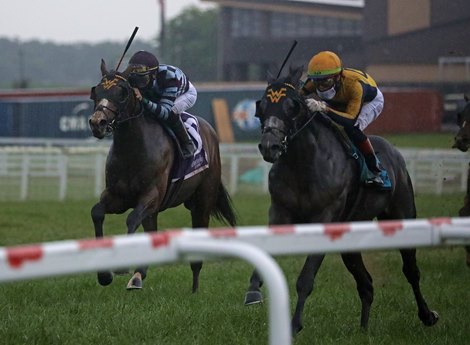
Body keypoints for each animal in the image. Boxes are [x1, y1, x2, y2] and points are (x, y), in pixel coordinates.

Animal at [87, 59, 235, 290]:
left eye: (121, 92)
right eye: (97, 91)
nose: (97, 122)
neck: (133, 149)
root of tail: (210, 130)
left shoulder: (152, 195)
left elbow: (131, 219)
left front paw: (121, 267)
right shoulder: (117, 197)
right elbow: (97, 212)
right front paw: (104, 275)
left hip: (203, 201)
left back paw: (194, 288)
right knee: (150, 229)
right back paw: (139, 276)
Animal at [246, 66, 440, 334]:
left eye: (291, 106)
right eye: (262, 106)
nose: (269, 146)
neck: (303, 164)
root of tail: (395, 153)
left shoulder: (326, 217)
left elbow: (306, 279)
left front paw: (294, 324)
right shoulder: (279, 212)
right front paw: (254, 290)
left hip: (403, 213)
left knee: (411, 271)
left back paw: (427, 315)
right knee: (366, 284)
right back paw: (363, 330)